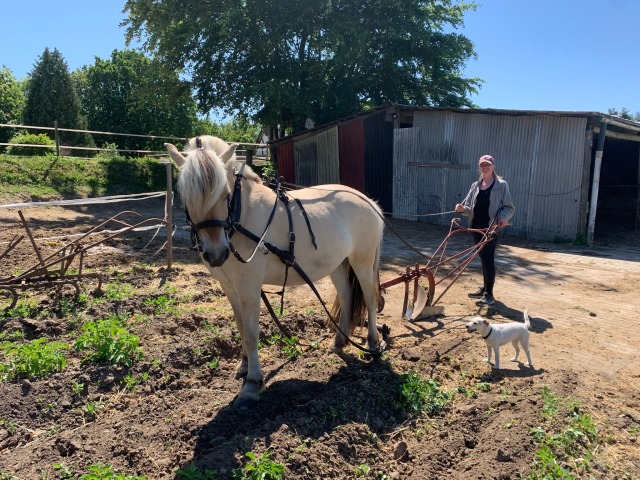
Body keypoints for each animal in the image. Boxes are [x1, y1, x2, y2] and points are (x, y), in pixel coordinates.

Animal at [166, 136, 384, 408]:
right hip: (337, 264)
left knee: (370, 298)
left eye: (225, 195)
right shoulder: (229, 286)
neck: (241, 216)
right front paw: (244, 366)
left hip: (362, 262)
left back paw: (373, 342)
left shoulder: (249, 286)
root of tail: (369, 202)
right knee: (346, 296)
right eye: (185, 197)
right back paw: (339, 342)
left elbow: (251, 333)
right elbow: (241, 326)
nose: (216, 254)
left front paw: (252, 383)